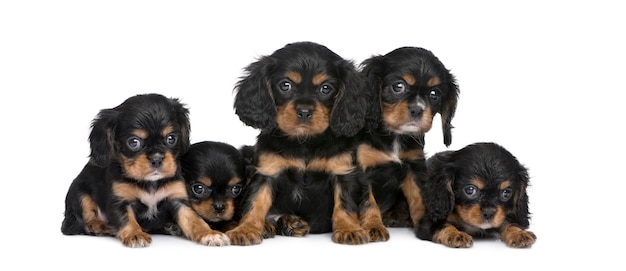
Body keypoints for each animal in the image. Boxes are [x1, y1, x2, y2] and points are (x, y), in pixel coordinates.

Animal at [61, 93, 229, 249]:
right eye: (134, 142)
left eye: (171, 138)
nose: (156, 158)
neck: (150, 182)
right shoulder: (120, 201)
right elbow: (126, 219)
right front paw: (135, 234)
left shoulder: (178, 199)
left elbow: (194, 220)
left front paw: (209, 234)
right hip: (80, 194)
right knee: (84, 221)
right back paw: (101, 226)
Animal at [227, 41, 370, 246]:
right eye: (285, 85)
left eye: (326, 88)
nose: (304, 111)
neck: (305, 142)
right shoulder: (267, 171)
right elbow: (255, 202)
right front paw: (246, 229)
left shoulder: (343, 171)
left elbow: (345, 204)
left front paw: (349, 229)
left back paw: (292, 223)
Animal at [356, 46, 458, 240]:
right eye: (398, 86)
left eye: (434, 94)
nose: (417, 109)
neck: (395, 135)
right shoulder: (361, 168)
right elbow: (368, 202)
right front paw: (373, 227)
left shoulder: (414, 167)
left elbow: (420, 199)